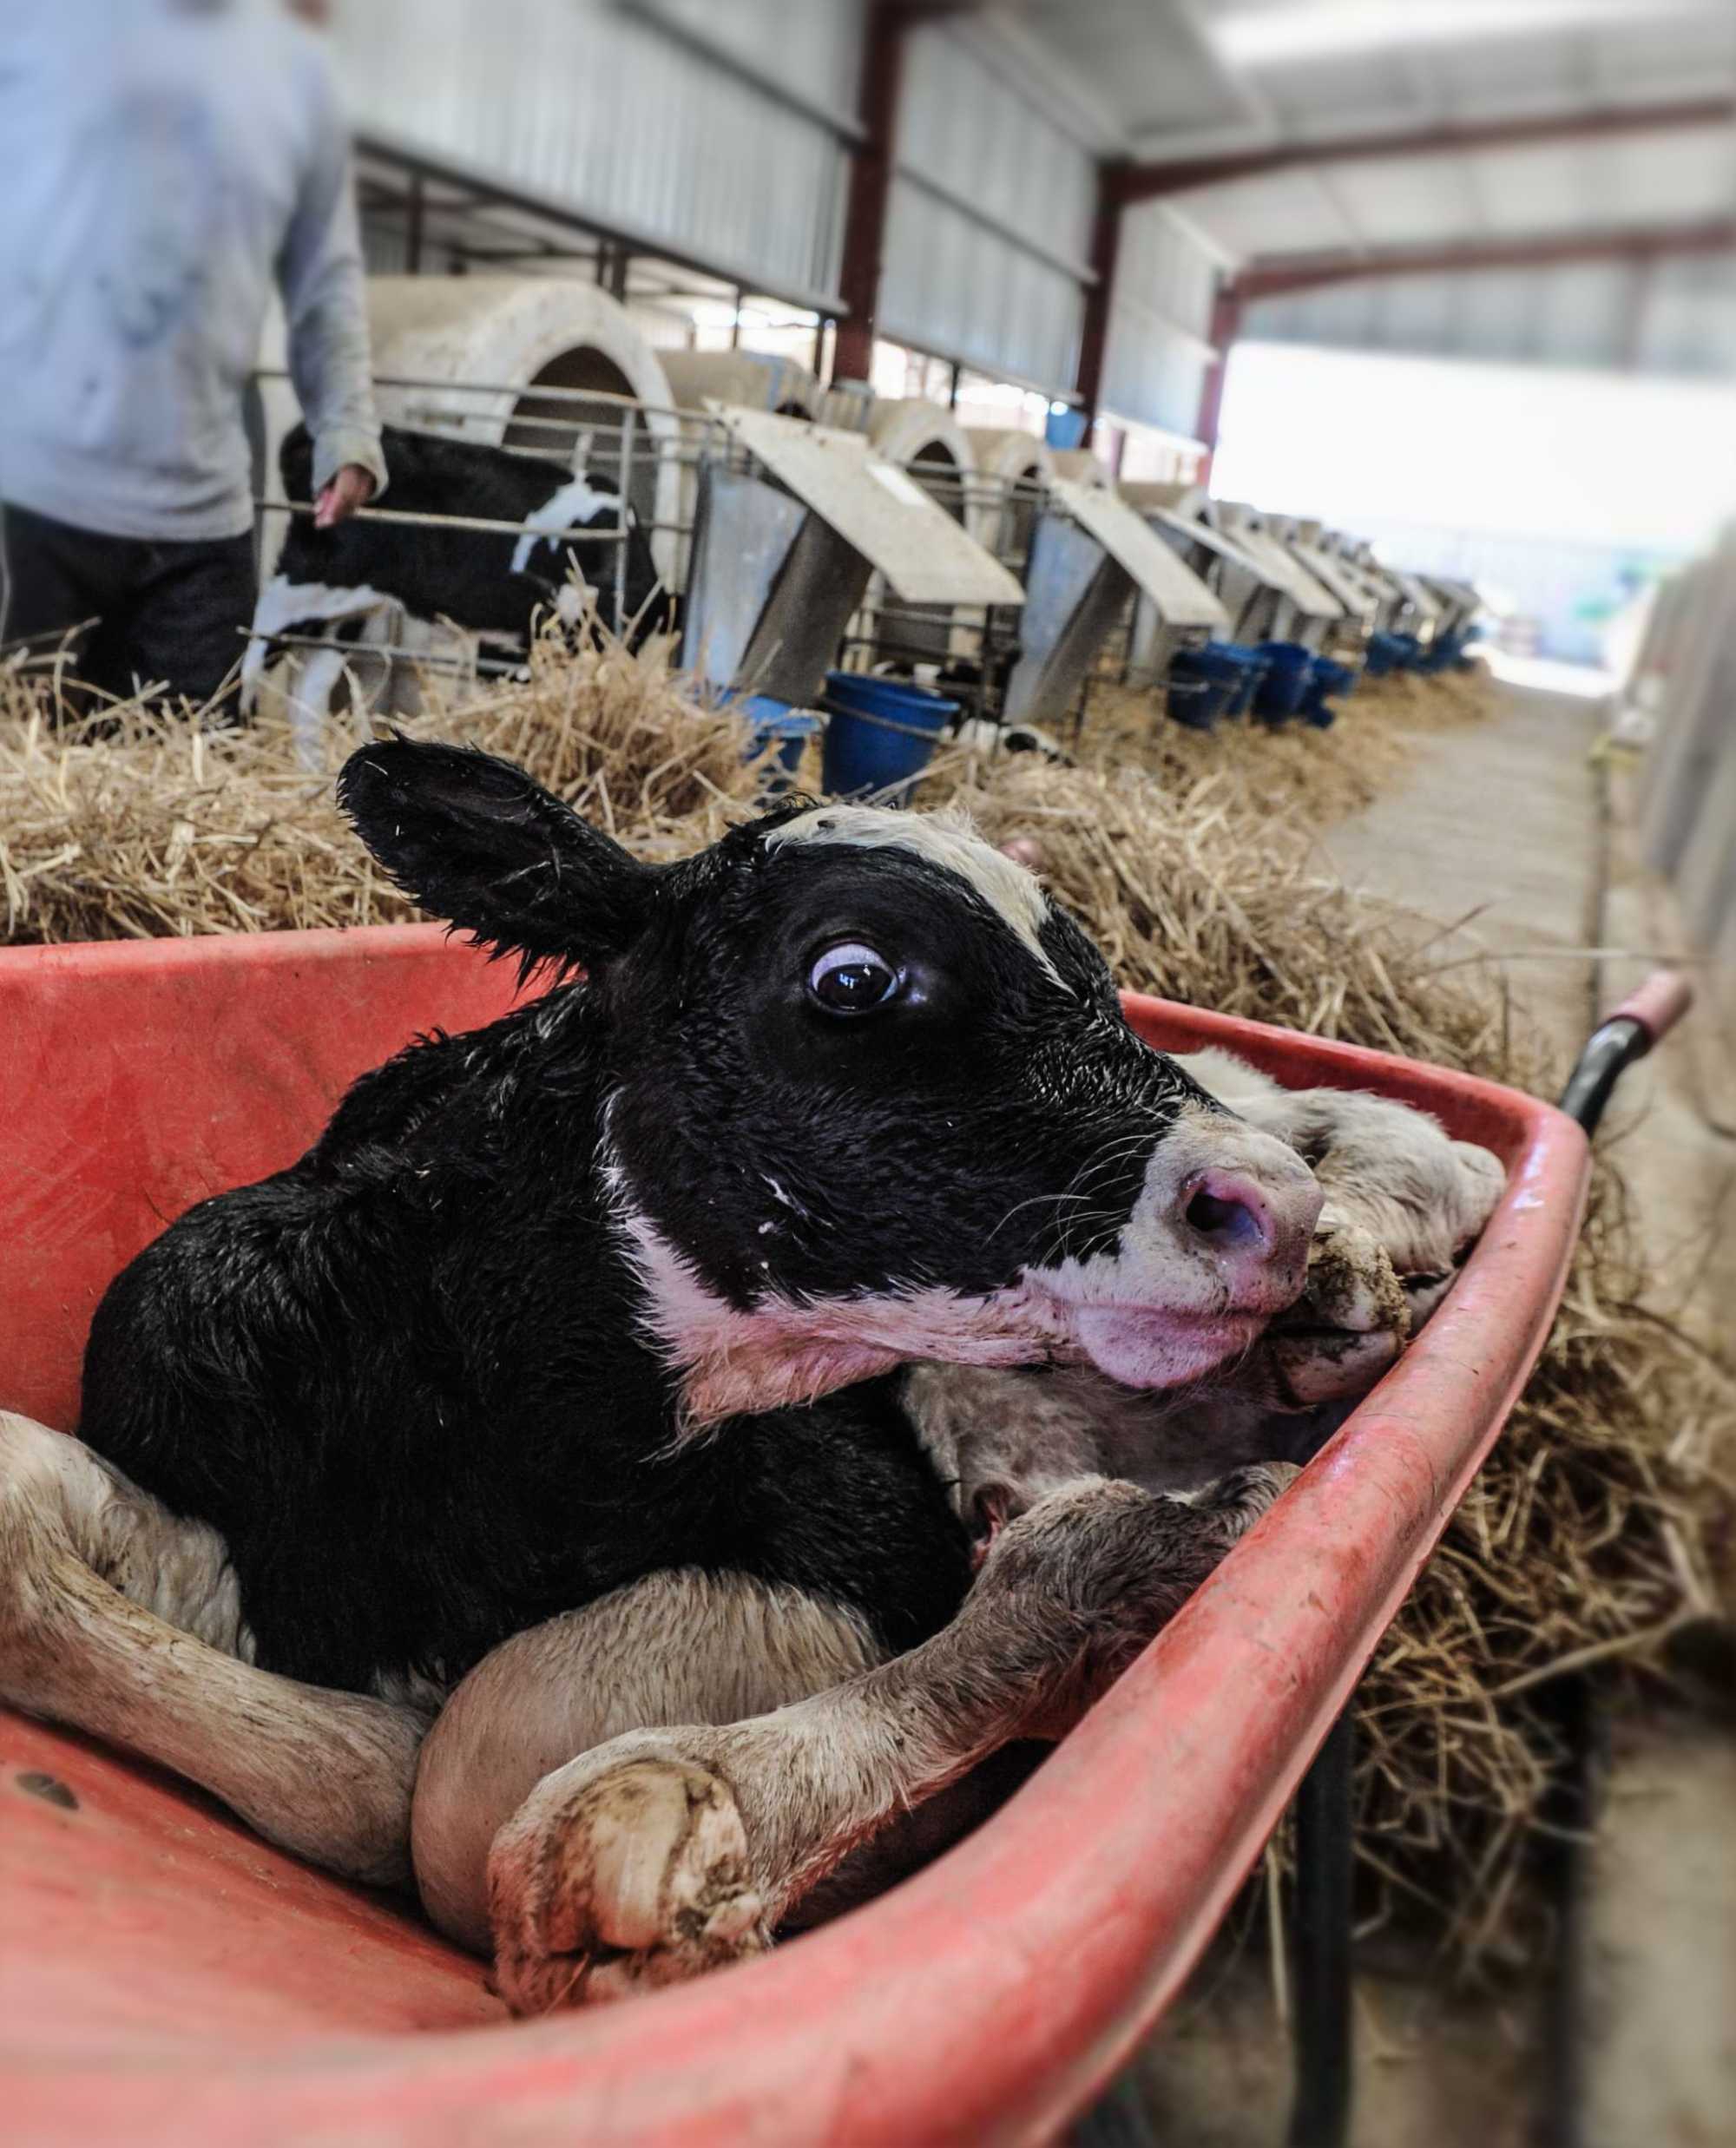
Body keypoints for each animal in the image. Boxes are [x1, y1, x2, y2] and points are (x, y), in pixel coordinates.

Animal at [0, 743, 1495, 2010]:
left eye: (1096, 976)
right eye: (852, 977)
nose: (1265, 1210)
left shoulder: (854, 1540)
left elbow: (485, 1768)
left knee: (1302, 1103)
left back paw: (1380, 1218)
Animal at [242, 421, 670, 713]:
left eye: (637, 636)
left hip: (347, 610)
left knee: (311, 686)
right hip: (307, 579)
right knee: (257, 640)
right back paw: (239, 715)